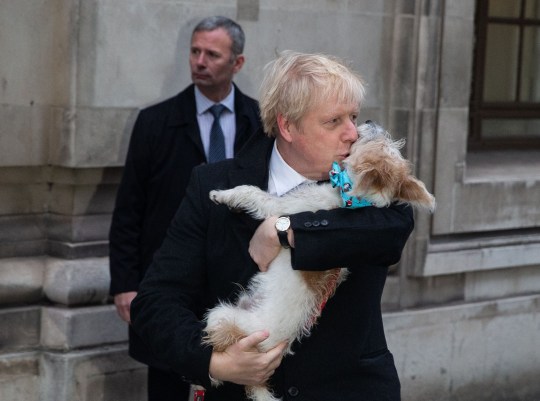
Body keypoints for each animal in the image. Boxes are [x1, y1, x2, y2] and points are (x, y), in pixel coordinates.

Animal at [201, 120, 434, 398]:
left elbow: (252, 193)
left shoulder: (280, 209)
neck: (348, 198)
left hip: (222, 316)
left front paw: (222, 194)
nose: (370, 122)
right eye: (387, 142)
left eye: (379, 142)